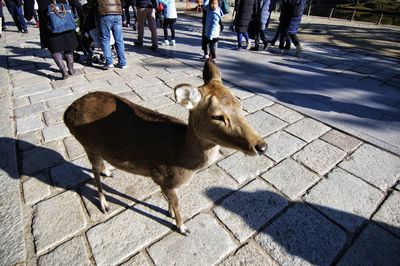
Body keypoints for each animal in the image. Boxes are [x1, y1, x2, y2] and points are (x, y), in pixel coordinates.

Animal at [64, 59, 268, 235]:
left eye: (239, 103)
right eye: (217, 116)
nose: (262, 146)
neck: (183, 157)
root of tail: (67, 113)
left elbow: (172, 201)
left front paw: (169, 212)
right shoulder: (161, 177)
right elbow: (176, 202)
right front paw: (182, 227)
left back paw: (108, 171)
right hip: (87, 143)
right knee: (94, 173)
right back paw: (104, 204)